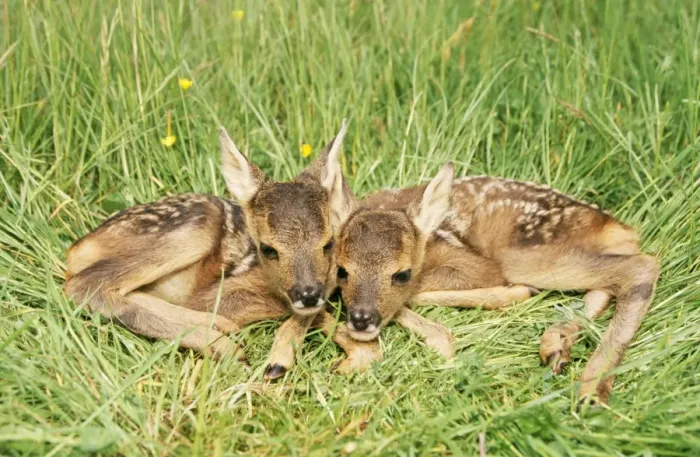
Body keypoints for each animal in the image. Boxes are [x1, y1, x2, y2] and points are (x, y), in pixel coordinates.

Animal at [63, 121, 378, 375]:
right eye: (267, 248)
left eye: (328, 243)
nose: (308, 293)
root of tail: (79, 246)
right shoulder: (223, 291)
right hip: (198, 225)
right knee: (84, 284)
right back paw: (224, 345)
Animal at [332, 162, 659, 404]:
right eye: (342, 271)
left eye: (401, 274)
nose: (361, 318)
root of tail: (617, 227)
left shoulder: (474, 263)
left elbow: (416, 292)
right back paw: (556, 345)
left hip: (522, 255)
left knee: (641, 266)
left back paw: (591, 387)